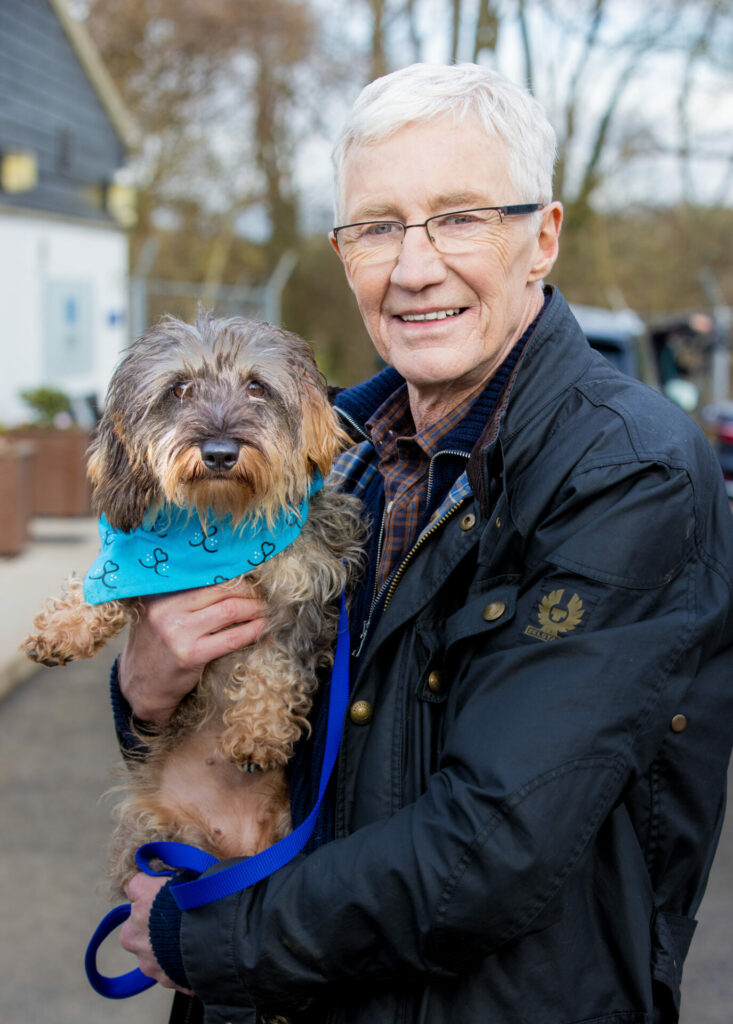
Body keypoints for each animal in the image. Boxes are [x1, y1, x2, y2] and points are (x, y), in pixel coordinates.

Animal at [22, 313, 366, 897]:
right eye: (179, 389)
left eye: (257, 387)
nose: (221, 452)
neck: (219, 519)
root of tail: (231, 848)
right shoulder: (135, 564)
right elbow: (100, 585)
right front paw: (63, 626)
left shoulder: (306, 594)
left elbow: (274, 666)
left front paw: (257, 733)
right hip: (156, 834)